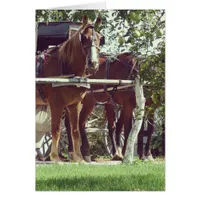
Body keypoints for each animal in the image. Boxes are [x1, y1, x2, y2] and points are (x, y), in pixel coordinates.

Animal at [35, 15, 103, 162]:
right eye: (84, 37)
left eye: (100, 38)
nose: (93, 63)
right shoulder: (56, 104)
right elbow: (56, 130)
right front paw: (55, 158)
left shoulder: (74, 105)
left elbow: (75, 130)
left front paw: (78, 158)